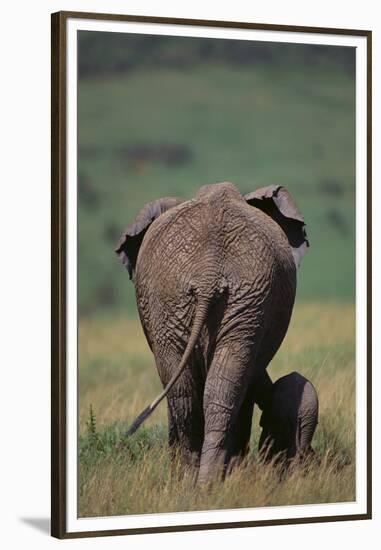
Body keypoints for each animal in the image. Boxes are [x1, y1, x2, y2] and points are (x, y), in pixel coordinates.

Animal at [114, 183, 308, 486]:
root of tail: (209, 272)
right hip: (187, 297)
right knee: (200, 391)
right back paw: (202, 481)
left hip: (234, 298)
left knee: (204, 391)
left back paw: (200, 481)